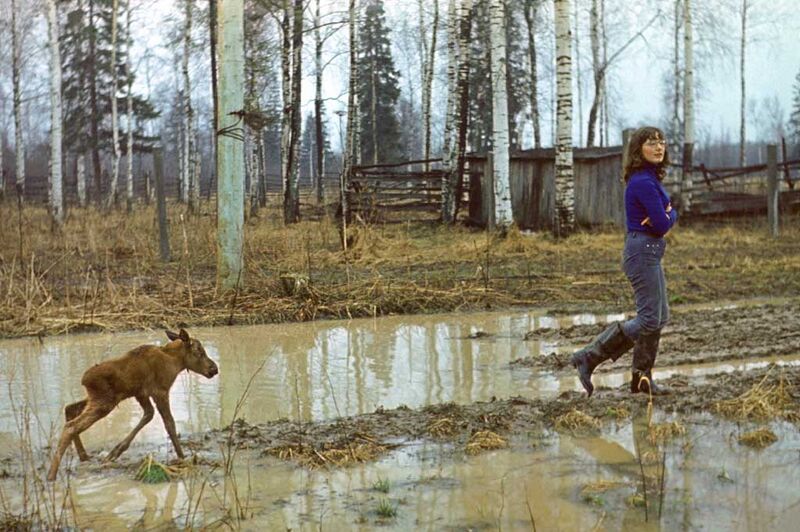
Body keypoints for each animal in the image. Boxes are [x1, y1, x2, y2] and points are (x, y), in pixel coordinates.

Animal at [47, 328, 218, 481]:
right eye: (199, 351)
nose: (214, 369)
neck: (175, 362)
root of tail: (84, 380)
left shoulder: (140, 393)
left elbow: (148, 415)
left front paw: (115, 452)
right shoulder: (160, 392)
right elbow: (169, 424)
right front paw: (182, 457)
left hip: (98, 399)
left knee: (70, 409)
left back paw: (83, 456)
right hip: (104, 402)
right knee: (71, 426)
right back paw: (51, 475)